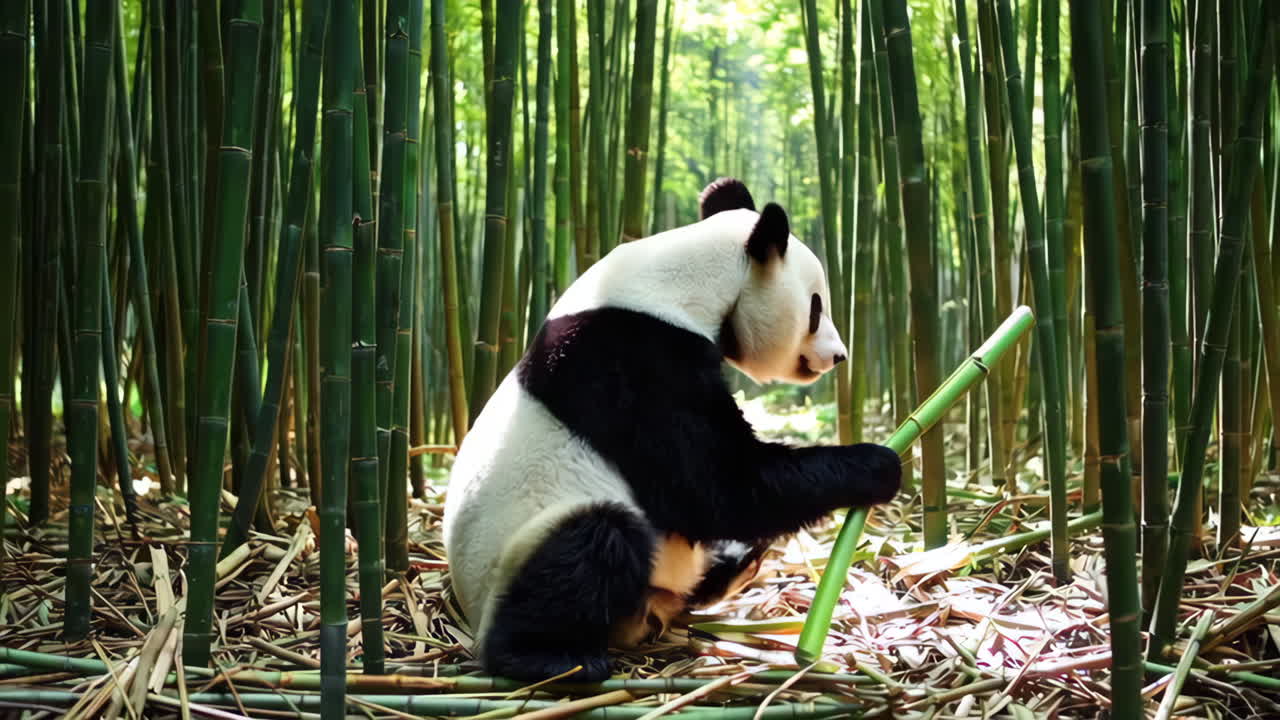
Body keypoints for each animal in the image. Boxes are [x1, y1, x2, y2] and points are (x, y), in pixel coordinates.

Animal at [442, 178, 902, 681]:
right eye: (816, 309)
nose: (838, 356)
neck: (681, 280)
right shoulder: (638, 363)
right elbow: (719, 487)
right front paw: (879, 463)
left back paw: (737, 560)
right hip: (513, 551)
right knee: (592, 541)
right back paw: (550, 656)